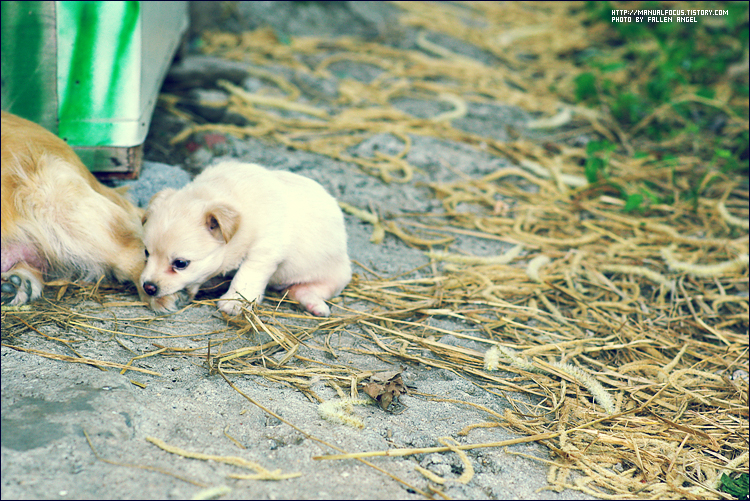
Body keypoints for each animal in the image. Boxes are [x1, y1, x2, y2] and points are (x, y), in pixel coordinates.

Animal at [141, 161, 352, 316]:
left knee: (310, 290)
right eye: (146, 253)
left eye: (181, 263)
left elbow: (246, 275)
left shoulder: (264, 251)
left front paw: (233, 302)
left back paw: (315, 306)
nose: (148, 287)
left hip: (337, 276)